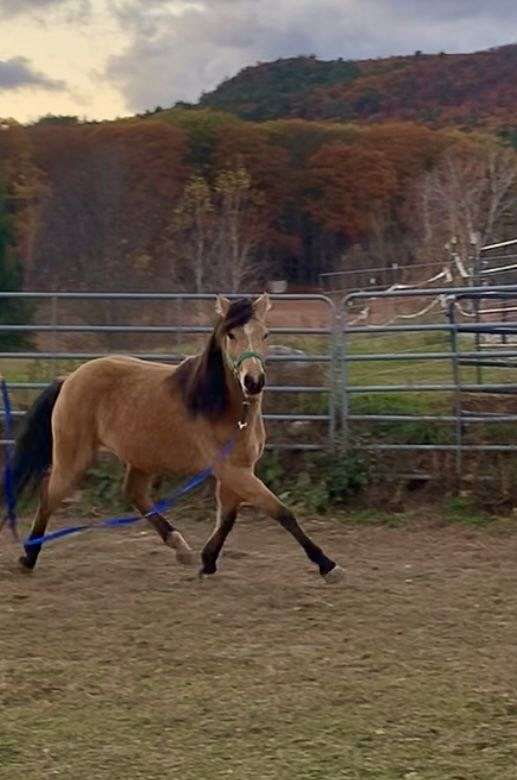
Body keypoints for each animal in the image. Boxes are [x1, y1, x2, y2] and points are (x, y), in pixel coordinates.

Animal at [4, 294, 343, 583]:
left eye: (265, 334)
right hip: (74, 458)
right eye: (231, 335)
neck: (224, 408)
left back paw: (180, 547)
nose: (253, 381)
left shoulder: (238, 471)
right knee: (49, 496)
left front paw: (207, 562)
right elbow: (281, 512)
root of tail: (70, 378)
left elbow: (228, 518)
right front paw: (328, 565)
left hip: (140, 457)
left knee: (135, 494)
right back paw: (28, 557)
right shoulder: (233, 471)